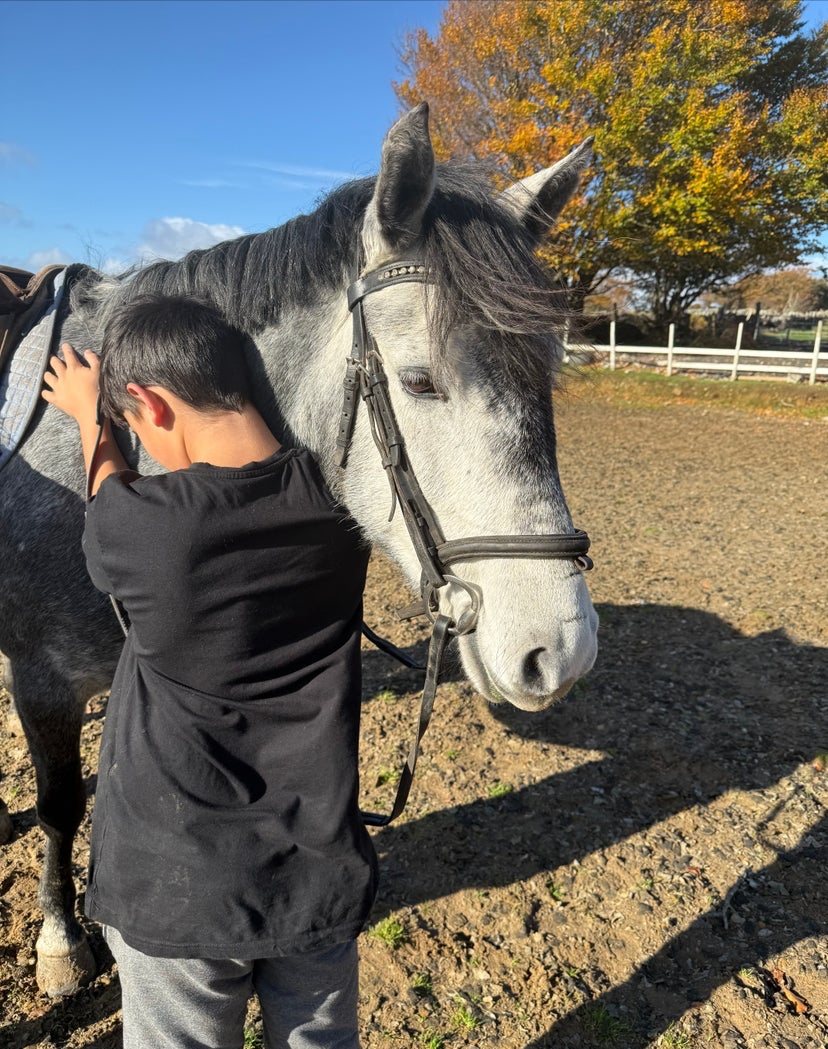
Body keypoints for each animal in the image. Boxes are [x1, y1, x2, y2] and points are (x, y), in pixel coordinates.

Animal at [0, 103, 599, 996]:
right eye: (420, 381)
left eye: (548, 373)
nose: (560, 649)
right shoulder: (41, 676)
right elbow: (60, 803)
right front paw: (62, 940)